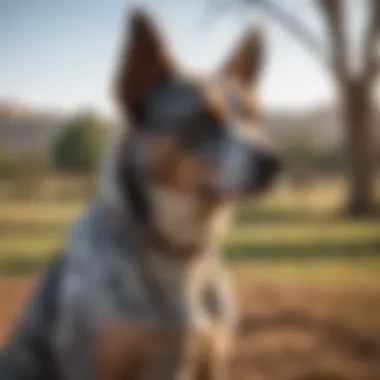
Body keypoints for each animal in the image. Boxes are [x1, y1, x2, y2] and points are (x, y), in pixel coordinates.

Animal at [0, 8, 280, 380]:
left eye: (254, 118)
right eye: (203, 120)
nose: (275, 163)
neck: (177, 256)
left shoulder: (213, 360)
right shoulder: (91, 363)